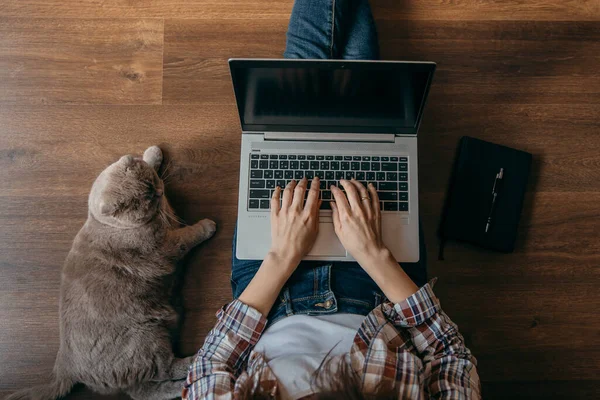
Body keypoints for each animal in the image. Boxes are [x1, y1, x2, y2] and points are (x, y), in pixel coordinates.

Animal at [8, 147, 217, 400]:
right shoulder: (167, 246)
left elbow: (147, 158)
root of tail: (66, 367)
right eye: (147, 200)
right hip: (146, 342)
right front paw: (206, 226)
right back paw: (198, 360)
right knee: (166, 370)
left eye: (152, 182)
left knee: (150, 390)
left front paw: (152, 153)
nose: (160, 191)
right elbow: (189, 235)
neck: (107, 225)